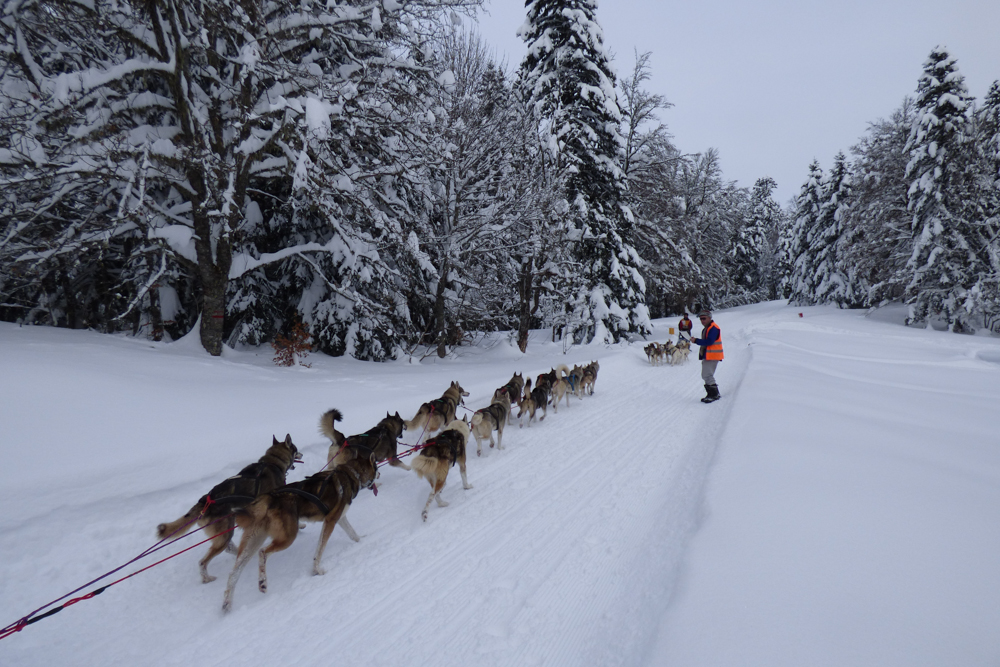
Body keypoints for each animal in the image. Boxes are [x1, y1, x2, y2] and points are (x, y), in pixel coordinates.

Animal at [156, 436, 300, 580]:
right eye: (296, 449)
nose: (302, 454)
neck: (273, 462)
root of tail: (205, 500)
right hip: (226, 531)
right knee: (203, 561)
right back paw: (207, 578)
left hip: (225, 530)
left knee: (228, 547)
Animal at [223, 452, 378, 612]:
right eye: (376, 466)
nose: (379, 474)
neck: (351, 475)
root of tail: (267, 498)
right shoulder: (330, 521)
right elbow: (319, 550)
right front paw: (316, 571)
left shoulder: (339, 519)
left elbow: (352, 533)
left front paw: (362, 539)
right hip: (288, 537)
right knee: (263, 552)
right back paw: (262, 582)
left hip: (253, 541)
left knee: (234, 572)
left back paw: (228, 603)